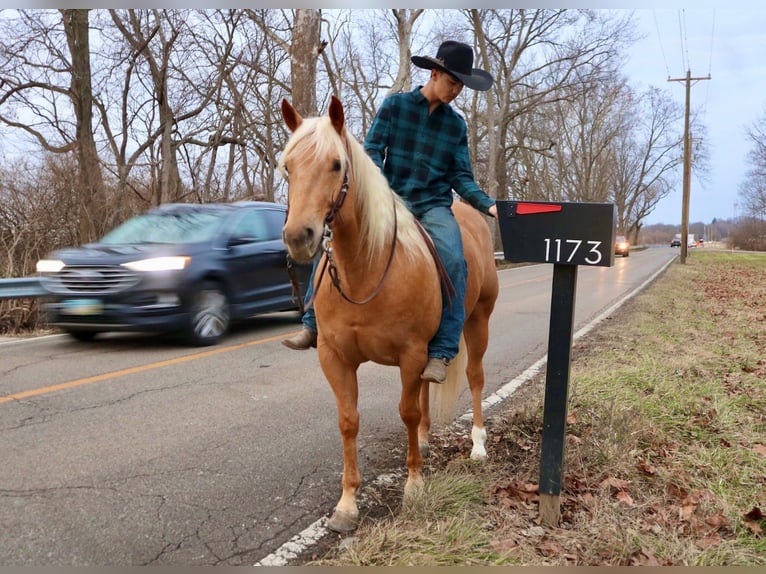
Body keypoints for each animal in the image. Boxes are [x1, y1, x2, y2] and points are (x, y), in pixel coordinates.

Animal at [278, 95, 499, 532]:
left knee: (474, 378)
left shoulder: (411, 353)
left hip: (477, 322)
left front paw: (413, 485)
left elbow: (407, 412)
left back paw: (478, 445)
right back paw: (428, 442)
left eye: (336, 164)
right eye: (288, 166)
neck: (367, 269)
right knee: (431, 385)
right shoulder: (335, 357)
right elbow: (349, 420)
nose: (299, 237)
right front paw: (347, 504)